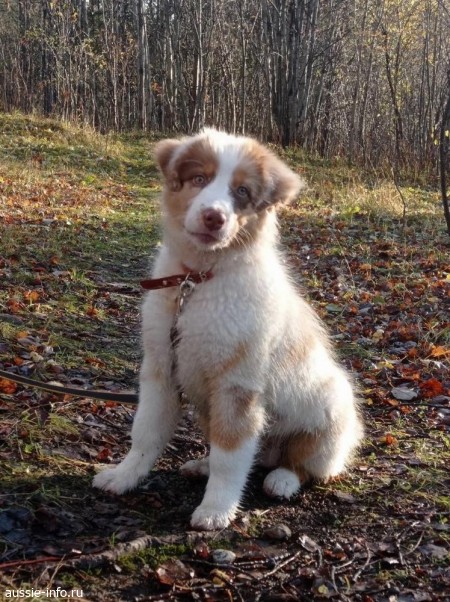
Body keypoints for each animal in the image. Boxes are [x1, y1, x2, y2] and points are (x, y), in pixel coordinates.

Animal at [93, 129, 364, 530]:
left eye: (242, 192)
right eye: (199, 179)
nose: (213, 217)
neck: (197, 281)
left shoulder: (237, 387)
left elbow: (230, 458)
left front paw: (216, 510)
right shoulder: (161, 369)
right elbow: (145, 433)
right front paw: (124, 476)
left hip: (328, 412)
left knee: (306, 464)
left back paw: (283, 479)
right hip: (210, 412)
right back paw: (203, 465)